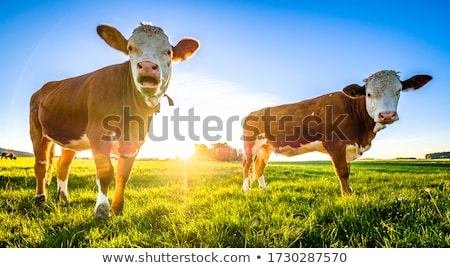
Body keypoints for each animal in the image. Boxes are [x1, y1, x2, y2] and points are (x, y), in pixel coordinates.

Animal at [29, 22, 199, 220]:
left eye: (168, 52)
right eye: (130, 48)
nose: (147, 66)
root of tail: (43, 88)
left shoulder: (136, 140)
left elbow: (123, 175)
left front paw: (117, 208)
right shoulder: (98, 135)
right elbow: (106, 173)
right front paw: (102, 210)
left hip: (69, 138)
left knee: (62, 166)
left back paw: (63, 198)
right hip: (37, 132)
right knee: (41, 165)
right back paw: (40, 198)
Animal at [243, 69, 432, 195]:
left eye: (399, 90)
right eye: (368, 94)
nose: (386, 115)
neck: (362, 135)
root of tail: (253, 112)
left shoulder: (348, 147)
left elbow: (347, 170)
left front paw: (350, 192)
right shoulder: (335, 144)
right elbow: (342, 171)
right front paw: (347, 196)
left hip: (266, 146)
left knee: (259, 166)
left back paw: (264, 189)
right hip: (250, 144)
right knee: (246, 165)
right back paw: (246, 190)